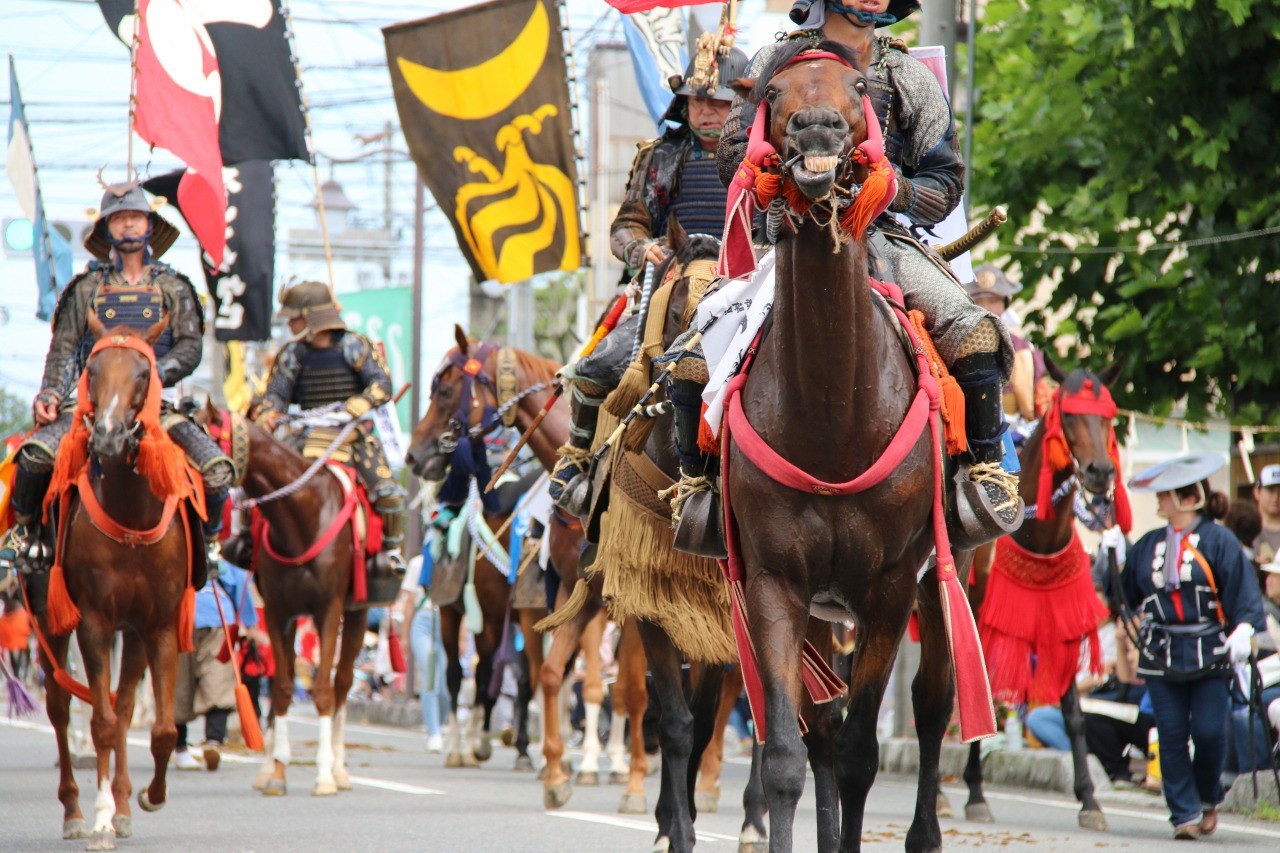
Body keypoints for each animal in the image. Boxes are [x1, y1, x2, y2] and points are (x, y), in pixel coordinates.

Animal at [29, 315, 202, 845]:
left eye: (144, 374)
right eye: (93, 370)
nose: (106, 436)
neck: (130, 517)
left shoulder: (159, 624)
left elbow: (160, 728)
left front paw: (146, 797)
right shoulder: (94, 623)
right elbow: (101, 723)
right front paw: (102, 818)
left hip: (135, 634)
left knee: (124, 706)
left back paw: (124, 803)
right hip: (49, 619)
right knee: (61, 706)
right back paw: (75, 812)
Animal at [194, 399, 373, 799]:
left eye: (206, 438)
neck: (302, 515)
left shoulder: (328, 610)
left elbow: (322, 691)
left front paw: (324, 775)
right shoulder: (278, 612)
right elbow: (280, 689)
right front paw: (277, 771)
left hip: (357, 613)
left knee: (343, 683)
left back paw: (340, 768)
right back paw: (267, 767)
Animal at [716, 43, 983, 845]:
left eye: (860, 86)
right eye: (774, 92)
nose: (819, 129)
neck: (834, 418)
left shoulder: (889, 586)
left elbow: (865, 752)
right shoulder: (775, 581)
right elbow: (787, 751)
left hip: (945, 573)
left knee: (932, 703)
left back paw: (925, 830)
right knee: (824, 733)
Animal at [952, 358, 1121, 829]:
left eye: (1109, 417)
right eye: (1068, 415)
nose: (1100, 472)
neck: (1037, 535)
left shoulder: (1058, 622)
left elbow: (1074, 715)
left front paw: (1090, 800)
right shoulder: (986, 623)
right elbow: (986, 700)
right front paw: (975, 794)